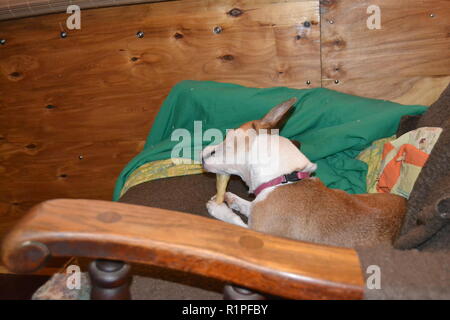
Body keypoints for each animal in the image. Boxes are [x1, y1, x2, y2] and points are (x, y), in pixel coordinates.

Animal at [202, 98, 406, 248]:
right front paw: (231, 198)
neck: (284, 179)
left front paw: (219, 208)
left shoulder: (258, 234)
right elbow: (247, 205)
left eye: (226, 140)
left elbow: (234, 221)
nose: (202, 154)